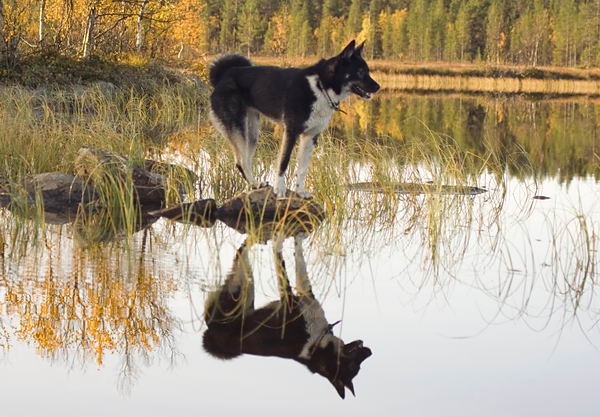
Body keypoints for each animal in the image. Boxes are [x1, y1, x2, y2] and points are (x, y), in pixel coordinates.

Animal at [203, 236, 370, 398]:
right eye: (356, 363)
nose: (370, 351)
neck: (317, 343)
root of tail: (210, 336)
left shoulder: (292, 301)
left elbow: (285, 262)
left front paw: (283, 240)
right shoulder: (302, 296)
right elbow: (297, 261)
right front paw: (297, 237)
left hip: (240, 291)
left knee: (240, 254)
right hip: (245, 291)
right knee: (241, 252)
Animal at [210, 40, 380, 198]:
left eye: (367, 71)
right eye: (360, 72)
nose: (378, 87)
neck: (321, 86)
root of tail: (226, 73)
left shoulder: (311, 136)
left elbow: (303, 168)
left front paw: (300, 191)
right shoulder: (291, 132)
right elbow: (283, 162)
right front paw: (280, 190)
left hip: (253, 132)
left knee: (246, 159)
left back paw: (256, 184)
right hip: (238, 129)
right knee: (241, 162)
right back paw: (255, 183)